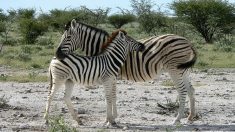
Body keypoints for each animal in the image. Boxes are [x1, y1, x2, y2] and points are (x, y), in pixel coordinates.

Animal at [53, 19, 198, 124]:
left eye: (68, 37)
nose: (57, 54)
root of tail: (188, 41)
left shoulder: (110, 75)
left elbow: (111, 95)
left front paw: (110, 118)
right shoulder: (111, 75)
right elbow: (113, 95)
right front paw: (113, 117)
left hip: (174, 69)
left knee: (182, 91)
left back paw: (177, 119)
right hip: (183, 70)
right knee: (190, 90)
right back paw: (190, 117)